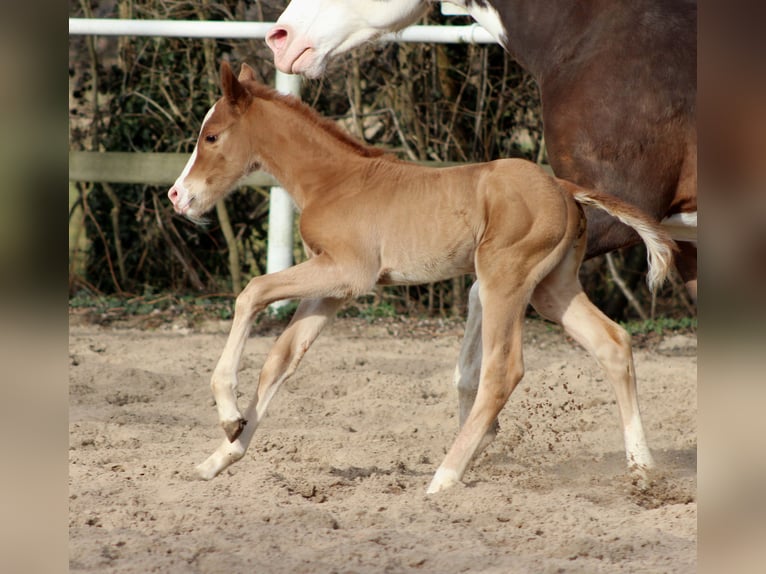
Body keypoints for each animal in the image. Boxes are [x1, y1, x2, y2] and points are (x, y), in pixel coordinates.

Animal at [168, 61, 675, 493]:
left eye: (211, 136)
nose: (177, 196)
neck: (333, 181)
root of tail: (563, 187)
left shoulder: (347, 272)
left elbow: (252, 292)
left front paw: (227, 413)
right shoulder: (331, 289)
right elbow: (281, 360)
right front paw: (221, 455)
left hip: (504, 278)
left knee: (502, 370)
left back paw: (445, 477)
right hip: (553, 289)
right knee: (613, 343)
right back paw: (643, 467)